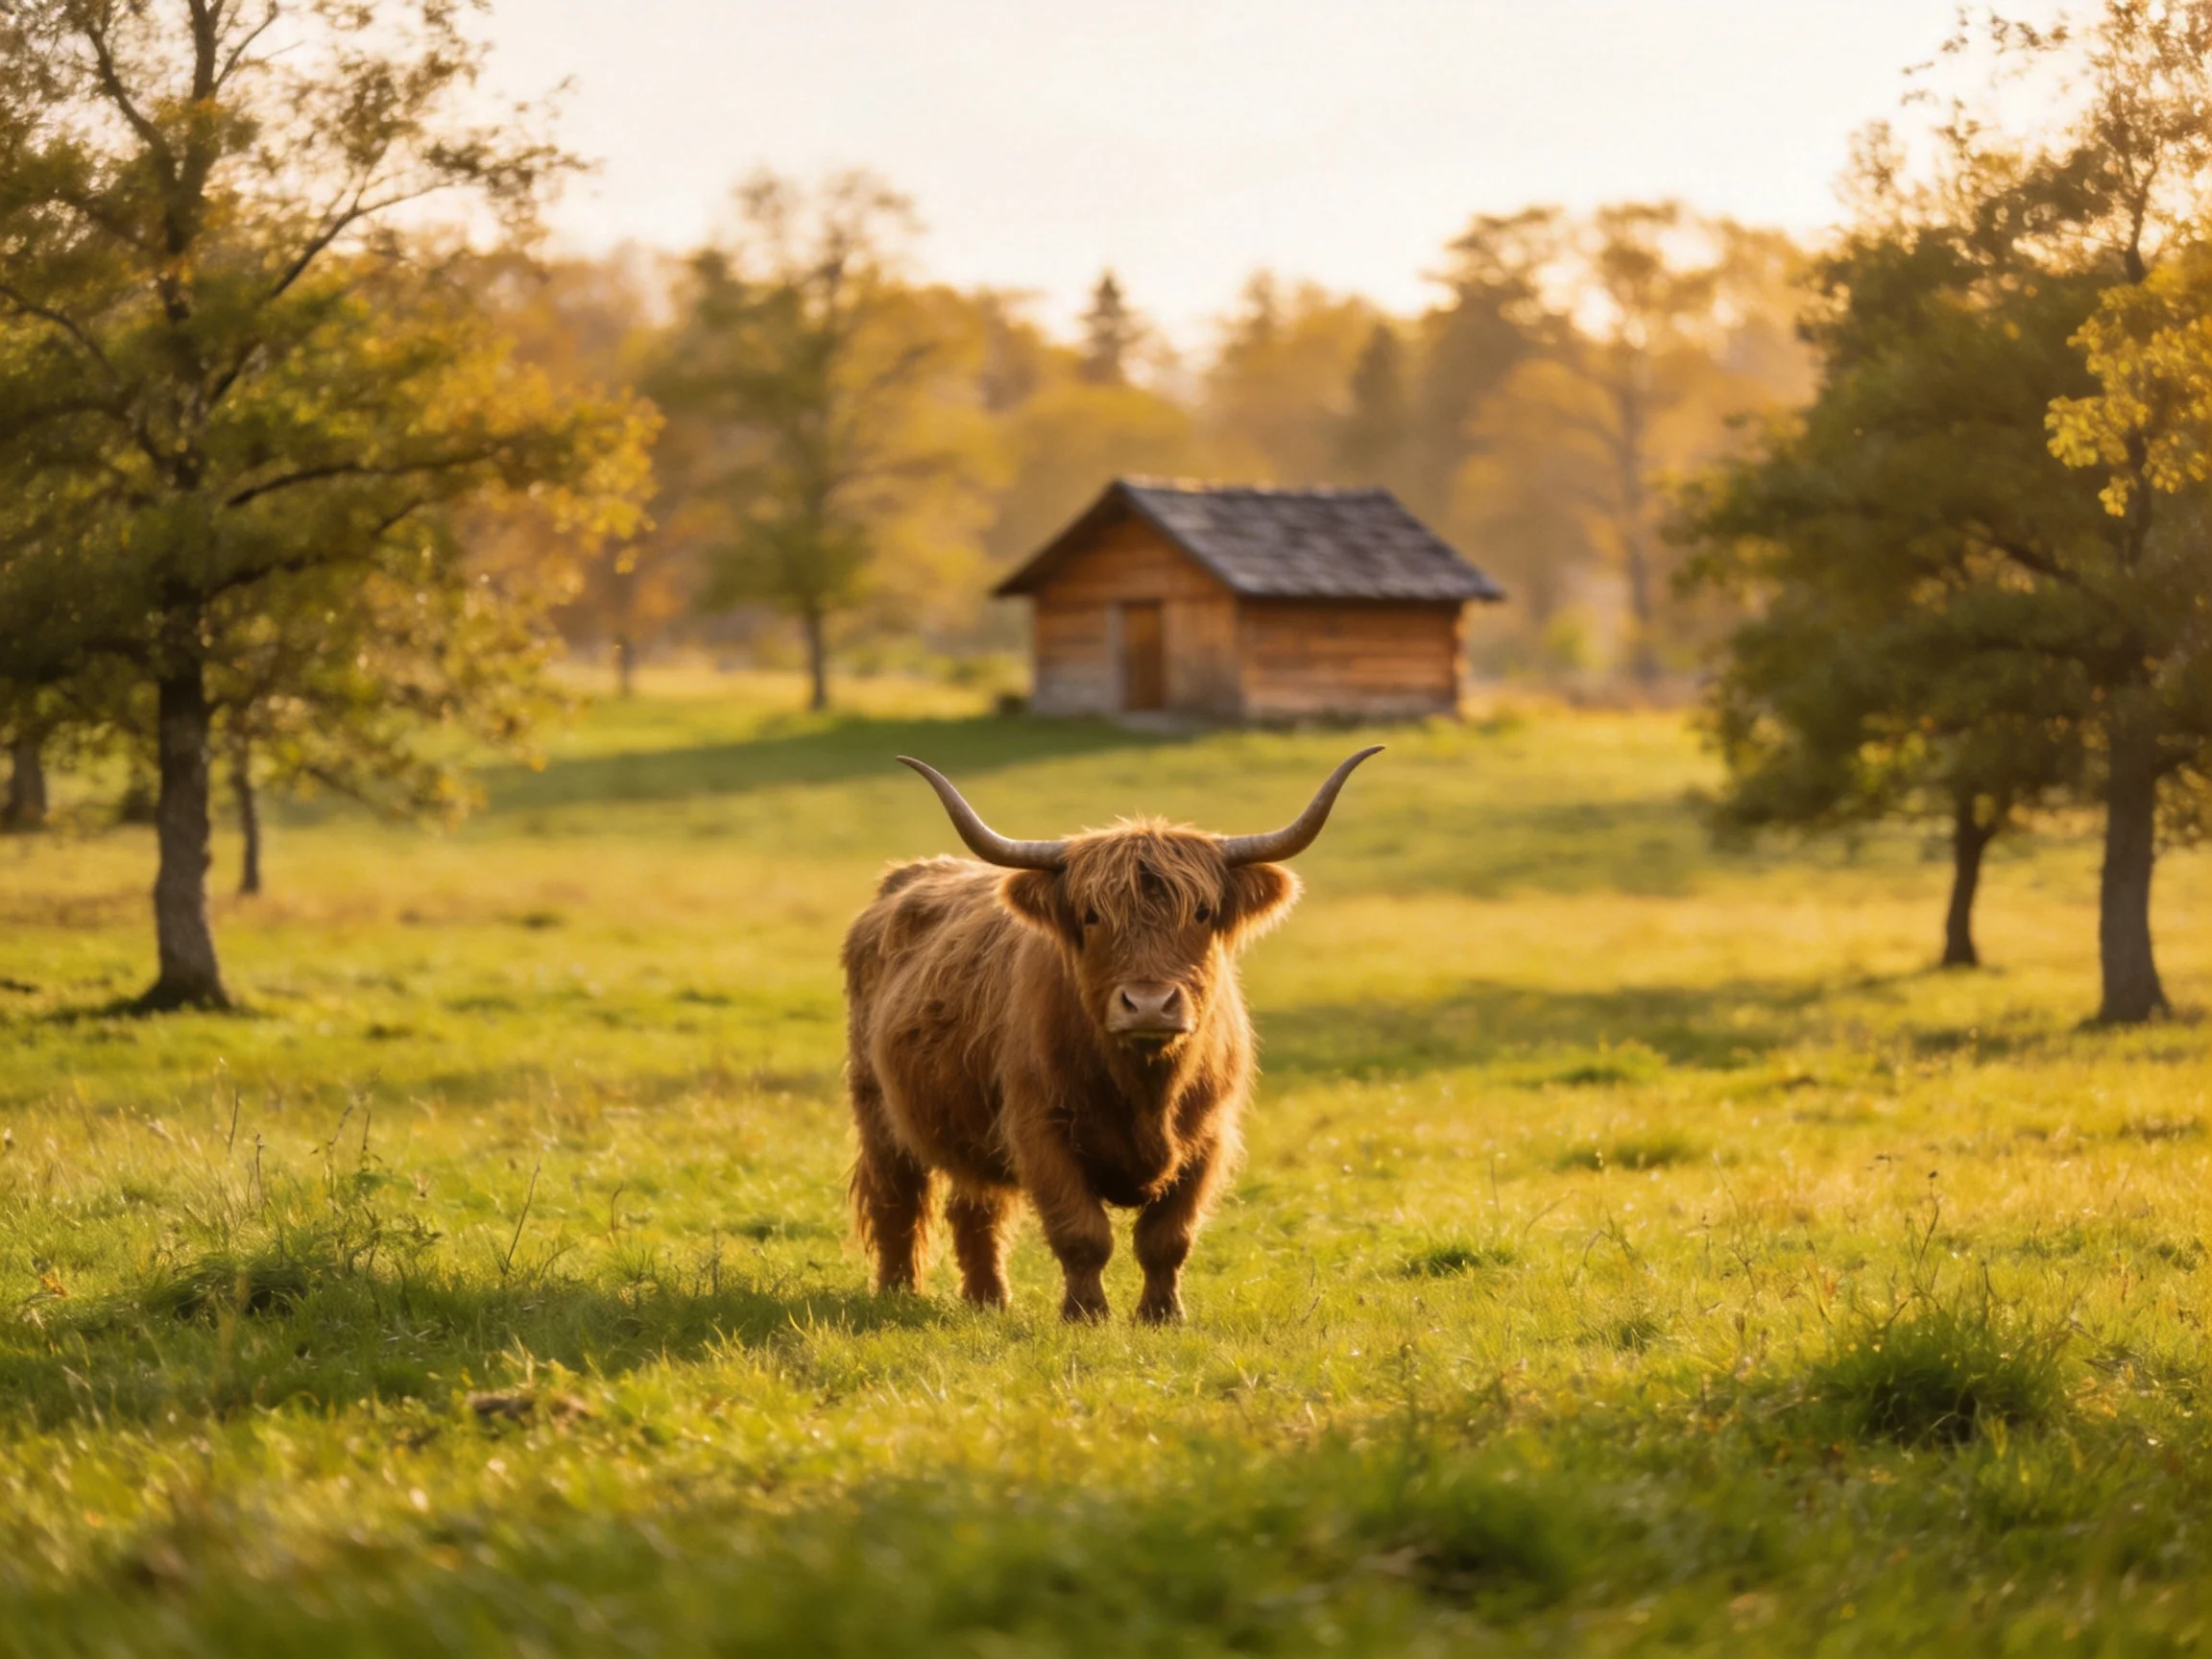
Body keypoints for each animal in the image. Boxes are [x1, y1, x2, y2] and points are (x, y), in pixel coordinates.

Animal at [840, 747, 1380, 1323]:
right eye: (1092, 915)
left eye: (1202, 912)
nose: (1149, 1004)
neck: (1147, 1089)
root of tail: (908, 876)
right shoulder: (1040, 1129)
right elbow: (1082, 1233)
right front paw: (1085, 1314)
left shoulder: (1209, 1136)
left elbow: (1168, 1237)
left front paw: (1162, 1315)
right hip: (877, 1109)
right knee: (897, 1199)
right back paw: (898, 1292)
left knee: (977, 1207)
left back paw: (990, 1301)